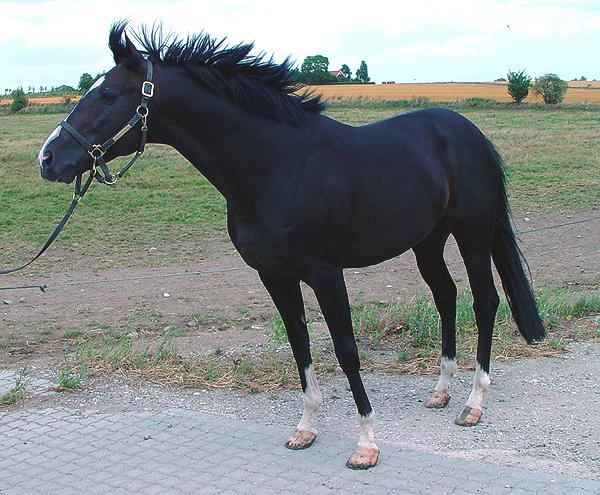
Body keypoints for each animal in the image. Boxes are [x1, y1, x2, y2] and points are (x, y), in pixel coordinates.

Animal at [37, 22, 545, 470]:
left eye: (108, 94)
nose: (48, 157)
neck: (276, 166)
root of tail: (470, 133)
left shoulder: (326, 273)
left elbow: (345, 348)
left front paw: (366, 445)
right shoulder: (274, 275)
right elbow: (299, 343)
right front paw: (305, 428)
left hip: (472, 235)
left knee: (484, 301)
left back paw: (473, 403)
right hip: (427, 242)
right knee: (446, 297)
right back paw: (440, 391)